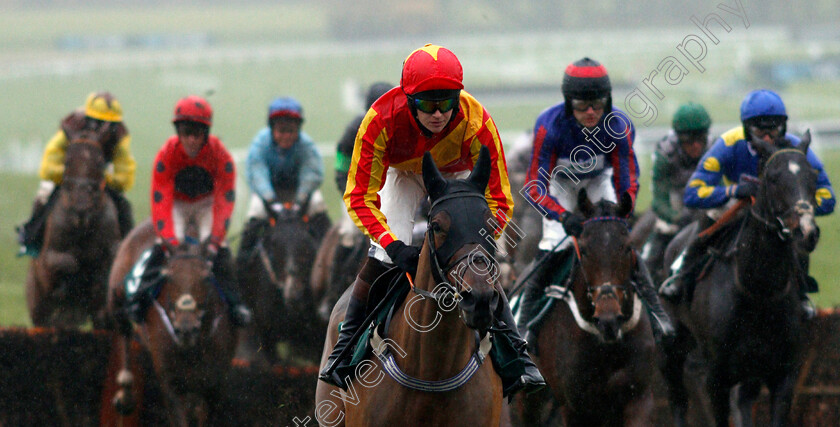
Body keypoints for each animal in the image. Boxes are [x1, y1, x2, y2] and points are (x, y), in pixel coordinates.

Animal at [25, 135, 120, 330]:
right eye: (67, 160)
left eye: (100, 162)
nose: (81, 209)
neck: (83, 229)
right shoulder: (47, 260)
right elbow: (68, 262)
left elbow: (110, 260)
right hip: (38, 306)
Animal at [106, 217, 236, 427]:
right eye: (168, 277)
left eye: (207, 277)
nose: (185, 328)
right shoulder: (171, 383)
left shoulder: (215, 384)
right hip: (116, 297)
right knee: (123, 332)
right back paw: (125, 393)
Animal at [516, 189, 660, 427]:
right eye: (583, 249)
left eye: (628, 246)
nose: (609, 320)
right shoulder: (576, 408)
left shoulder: (639, 398)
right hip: (530, 398)